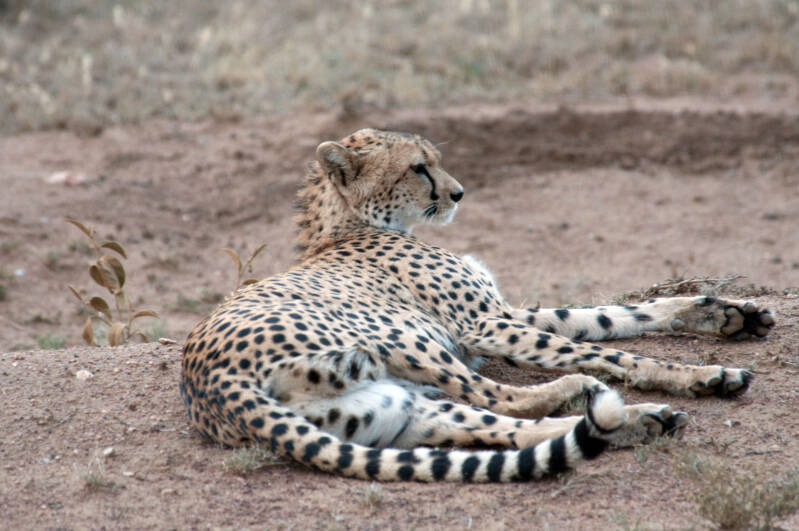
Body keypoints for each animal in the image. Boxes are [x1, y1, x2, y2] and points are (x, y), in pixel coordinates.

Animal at [181, 128, 775, 482]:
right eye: (418, 168)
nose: (459, 193)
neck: (348, 224)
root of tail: (207, 384)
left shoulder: (502, 313)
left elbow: (609, 316)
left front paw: (726, 313)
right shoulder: (484, 324)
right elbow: (609, 352)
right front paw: (698, 373)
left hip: (396, 411)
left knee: (510, 429)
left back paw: (640, 420)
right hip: (397, 340)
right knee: (505, 398)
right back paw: (586, 393)